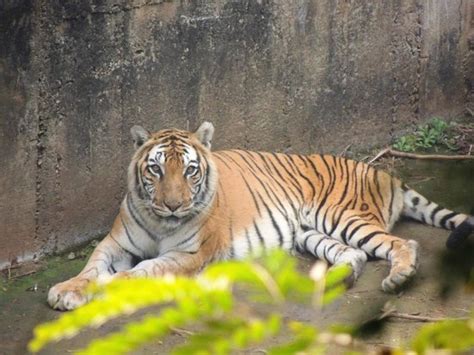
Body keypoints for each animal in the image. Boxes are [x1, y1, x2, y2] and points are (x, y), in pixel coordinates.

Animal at [49, 122, 474, 312]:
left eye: (189, 171)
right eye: (155, 169)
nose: (173, 205)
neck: (159, 221)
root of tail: (384, 173)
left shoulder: (187, 256)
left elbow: (136, 273)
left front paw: (101, 289)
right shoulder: (115, 244)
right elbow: (92, 267)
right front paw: (66, 289)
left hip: (343, 217)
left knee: (402, 243)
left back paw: (399, 276)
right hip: (309, 232)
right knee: (353, 255)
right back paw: (337, 279)